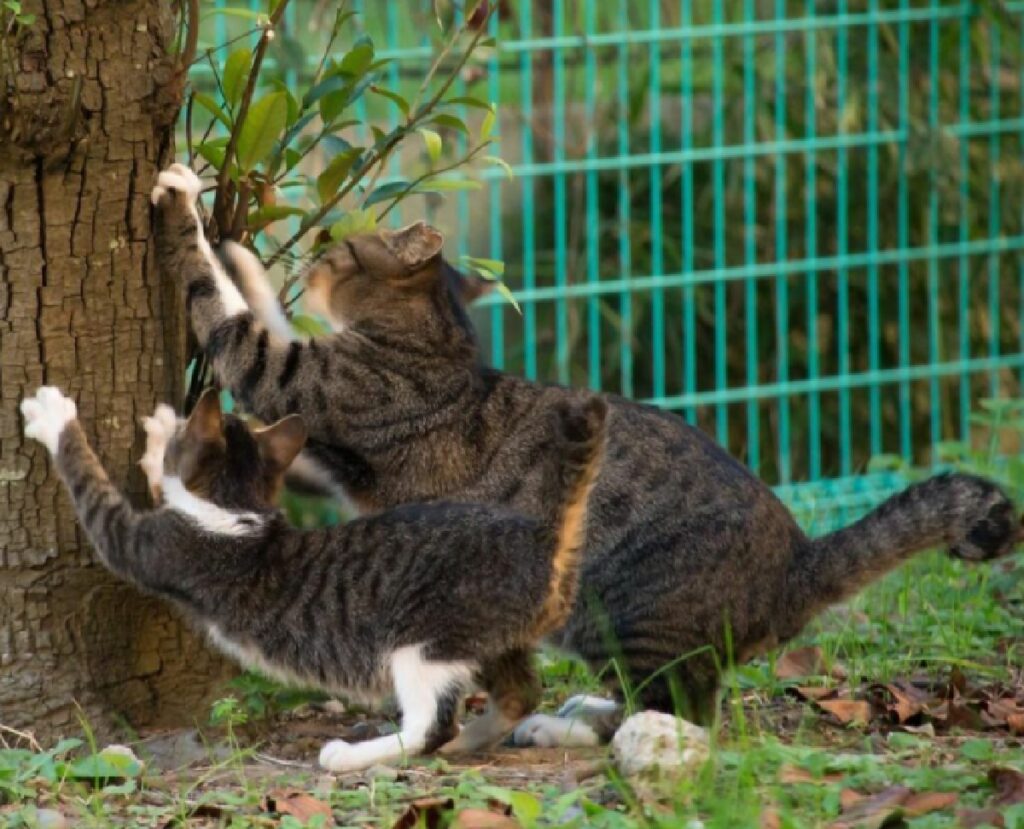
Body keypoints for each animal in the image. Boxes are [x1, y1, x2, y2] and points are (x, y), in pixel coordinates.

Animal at [22, 382, 606, 769]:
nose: (181, 417)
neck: (237, 510)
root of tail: (542, 535)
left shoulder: (148, 545)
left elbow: (94, 487)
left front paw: (54, 416)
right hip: (490, 637)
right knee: (517, 694)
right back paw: (467, 741)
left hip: (424, 638)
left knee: (432, 725)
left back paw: (350, 756)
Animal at [148, 161, 1019, 740]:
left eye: (340, 247)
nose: (315, 249)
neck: (438, 344)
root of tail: (797, 563)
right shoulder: (328, 449)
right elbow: (262, 314)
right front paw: (245, 252)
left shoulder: (303, 384)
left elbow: (234, 318)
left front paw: (194, 213)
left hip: (619, 609)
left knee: (686, 708)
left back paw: (590, 730)